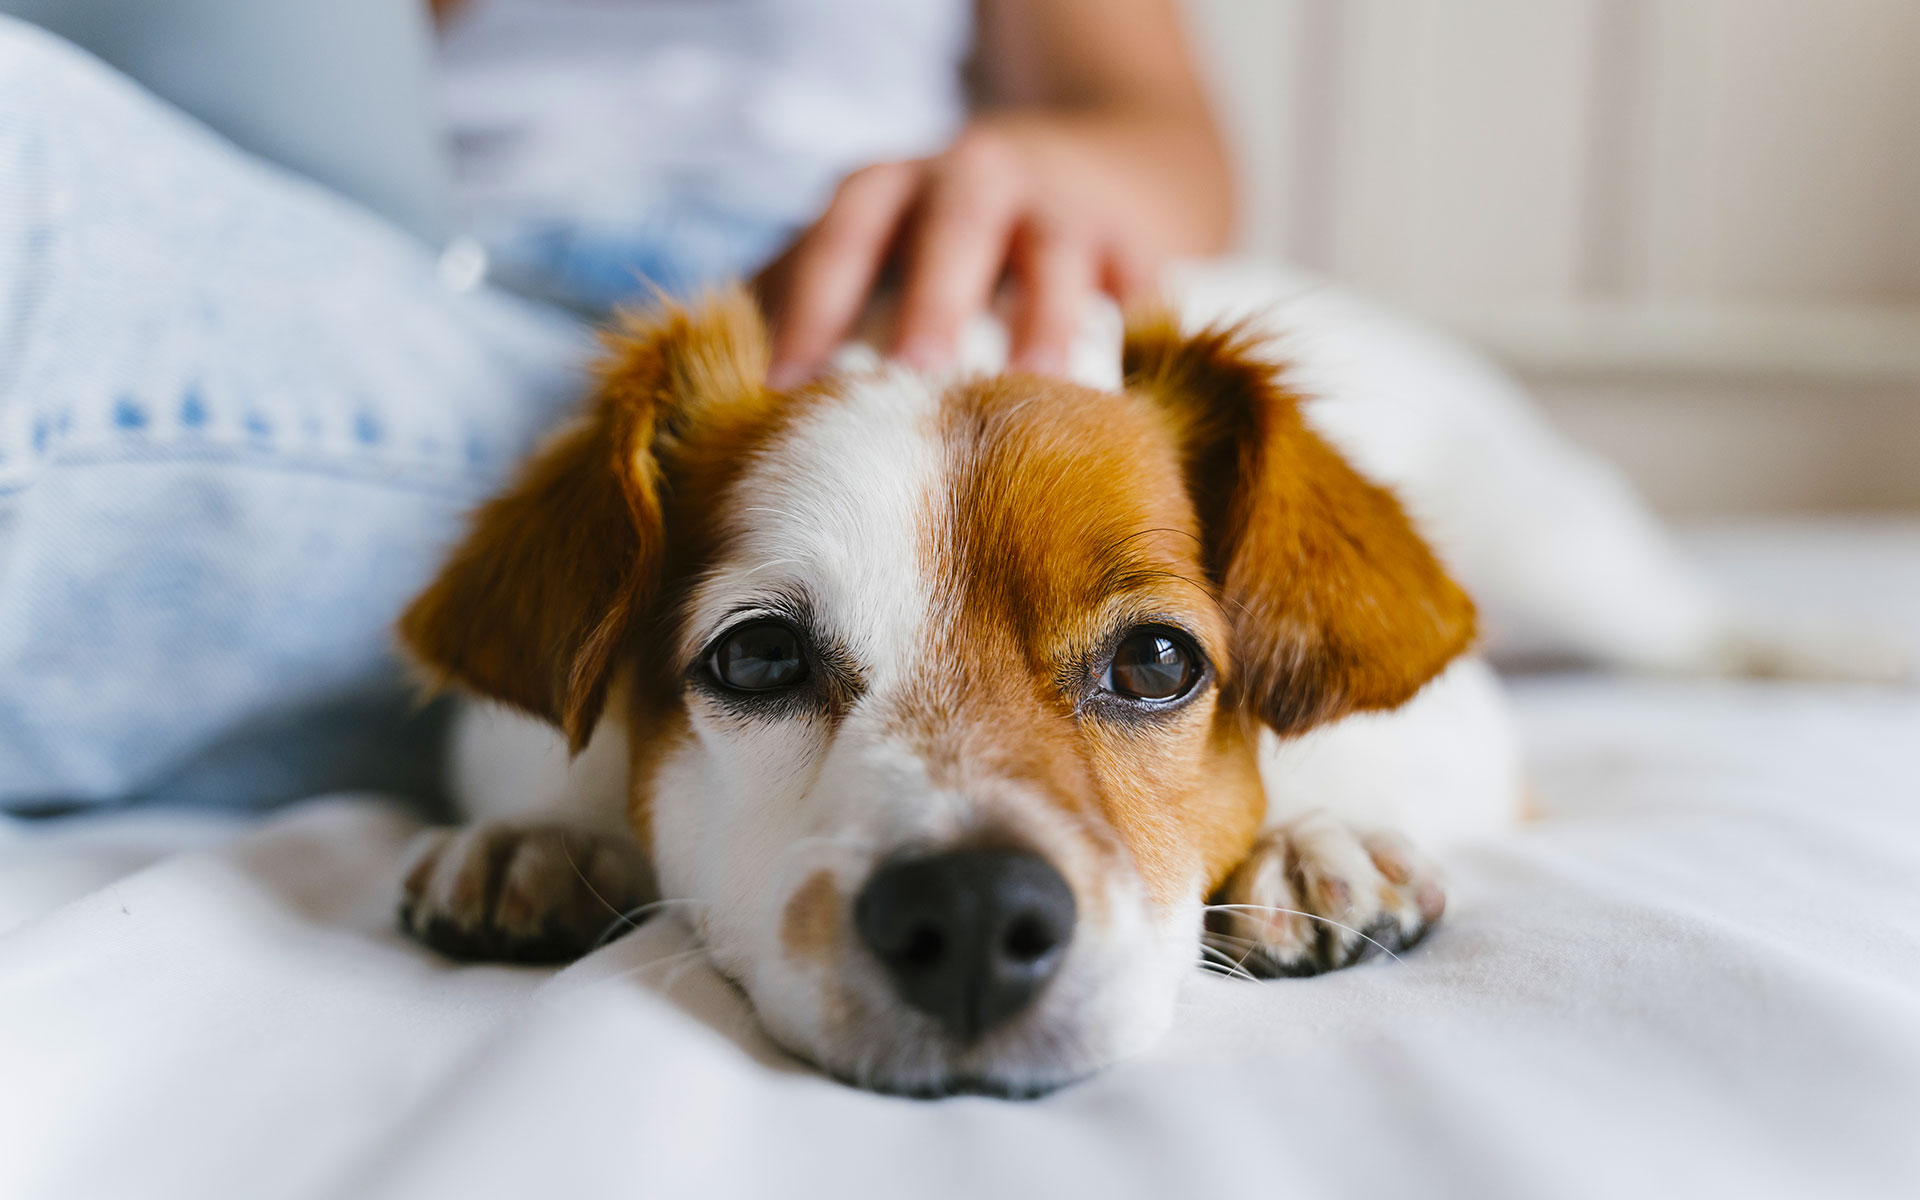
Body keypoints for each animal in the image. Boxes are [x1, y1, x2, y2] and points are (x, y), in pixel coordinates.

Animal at [389, 264, 1904, 1098]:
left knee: (1704, 628)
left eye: (1158, 660)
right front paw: (541, 838)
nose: (970, 916)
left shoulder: (1459, 722)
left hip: (1573, 563)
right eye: (757, 656)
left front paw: (1315, 840)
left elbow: (1344, 744)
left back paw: (1842, 648)